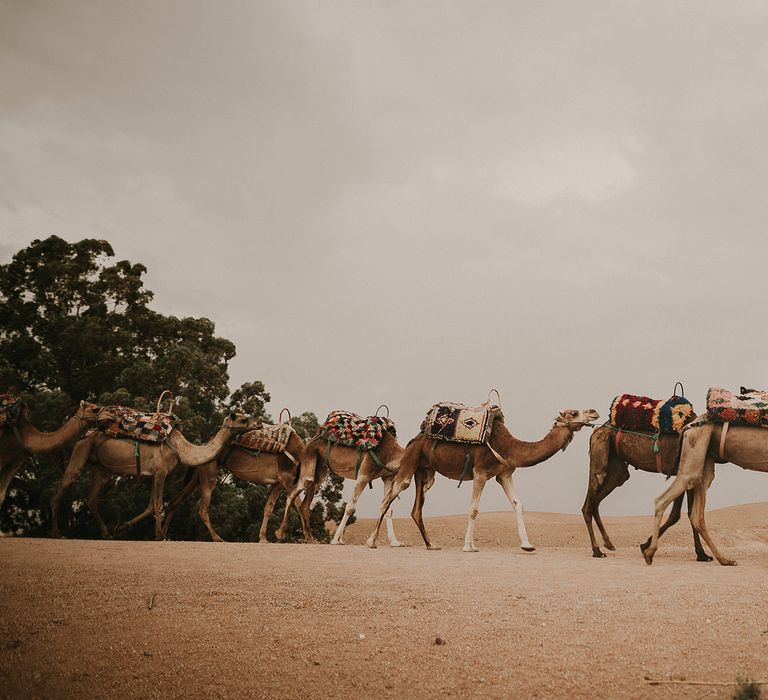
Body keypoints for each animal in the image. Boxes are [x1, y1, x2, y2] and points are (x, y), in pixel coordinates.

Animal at [51, 412, 255, 540]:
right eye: (244, 419)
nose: (258, 423)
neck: (182, 448)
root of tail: (89, 432)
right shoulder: (161, 471)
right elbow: (157, 504)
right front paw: (159, 535)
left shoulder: (156, 473)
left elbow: (150, 506)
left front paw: (123, 527)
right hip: (82, 449)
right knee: (66, 482)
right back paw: (58, 533)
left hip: (101, 468)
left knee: (92, 498)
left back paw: (107, 533)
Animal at [159, 426, 312, 548]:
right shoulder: (287, 479)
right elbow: (300, 507)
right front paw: (309, 539)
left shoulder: (278, 483)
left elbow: (268, 508)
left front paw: (263, 538)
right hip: (209, 472)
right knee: (202, 509)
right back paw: (218, 538)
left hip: (198, 475)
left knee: (174, 502)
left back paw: (163, 535)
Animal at [366, 410, 600, 552]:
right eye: (573, 412)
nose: (593, 411)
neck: (510, 447)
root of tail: (413, 441)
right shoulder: (480, 472)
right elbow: (473, 509)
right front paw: (469, 546)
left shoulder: (504, 474)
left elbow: (518, 505)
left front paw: (527, 544)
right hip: (410, 464)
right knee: (387, 499)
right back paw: (372, 542)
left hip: (424, 472)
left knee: (416, 509)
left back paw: (431, 544)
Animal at [584, 424, 712, 560]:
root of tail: (596, 431)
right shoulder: (685, 471)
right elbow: (684, 513)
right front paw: (702, 554)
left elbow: (679, 513)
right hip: (599, 454)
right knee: (588, 504)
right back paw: (597, 550)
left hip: (616, 469)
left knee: (597, 501)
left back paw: (608, 543)